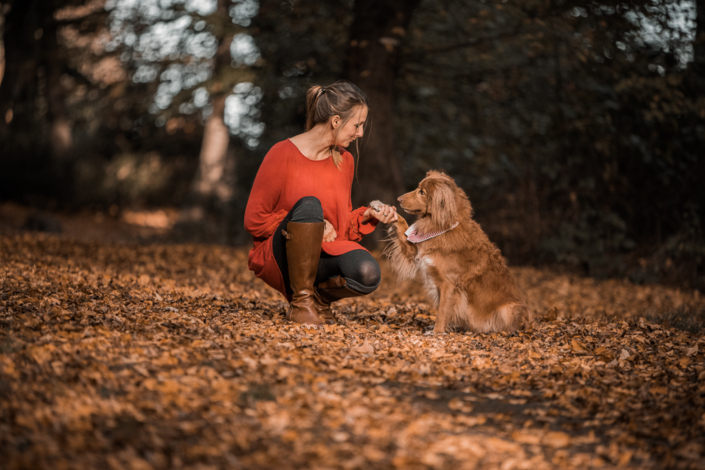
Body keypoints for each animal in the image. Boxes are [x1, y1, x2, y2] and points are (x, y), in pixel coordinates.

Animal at [384, 171, 528, 332]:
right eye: (418, 188)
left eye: (422, 192)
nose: (398, 199)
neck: (441, 227)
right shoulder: (416, 254)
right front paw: (388, 212)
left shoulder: (448, 283)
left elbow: (442, 310)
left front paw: (437, 332)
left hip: (509, 308)